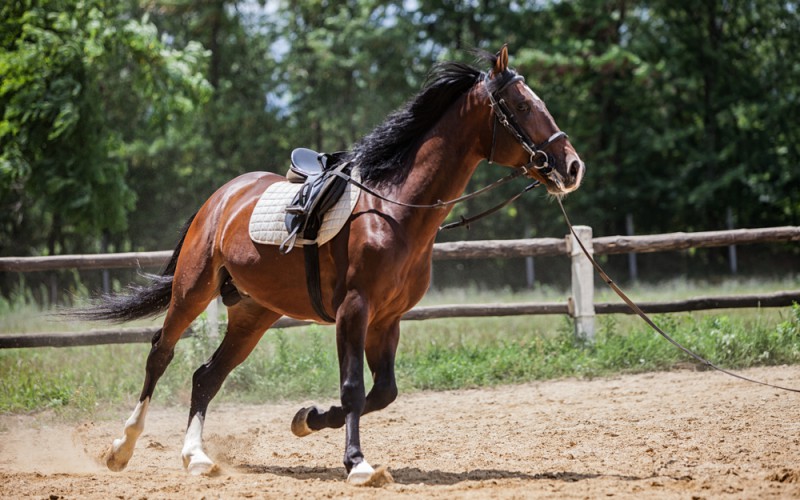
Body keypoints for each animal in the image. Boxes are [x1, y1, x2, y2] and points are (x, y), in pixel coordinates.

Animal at [87, 47, 584, 484]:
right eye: (522, 105)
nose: (572, 167)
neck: (393, 211)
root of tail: (221, 197)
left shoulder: (386, 319)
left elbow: (381, 392)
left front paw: (307, 418)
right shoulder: (354, 309)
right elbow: (353, 388)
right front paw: (358, 464)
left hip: (253, 313)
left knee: (206, 376)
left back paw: (196, 457)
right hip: (193, 289)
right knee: (161, 353)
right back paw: (122, 449)